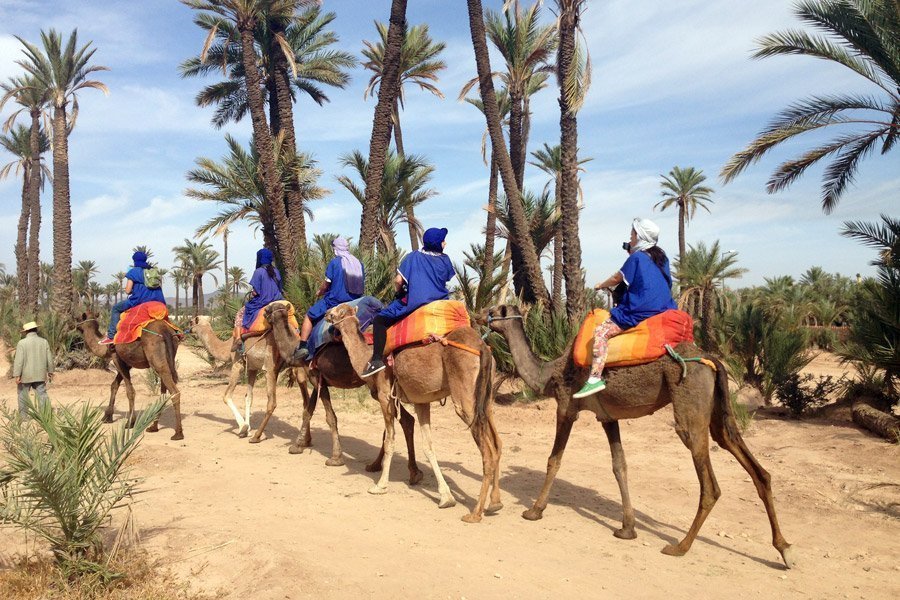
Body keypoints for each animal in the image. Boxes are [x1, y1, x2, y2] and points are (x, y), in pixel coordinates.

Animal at [266, 302, 424, 480]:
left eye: (269, 309)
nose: (263, 313)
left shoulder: (315, 377)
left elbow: (330, 417)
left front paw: (335, 458)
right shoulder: (319, 380)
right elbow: (308, 411)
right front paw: (300, 444)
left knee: (401, 419)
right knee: (406, 420)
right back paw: (407, 471)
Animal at [326, 302, 506, 524]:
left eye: (337, 310)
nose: (326, 314)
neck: (366, 359)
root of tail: (482, 347)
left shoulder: (385, 396)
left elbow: (390, 440)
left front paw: (380, 485)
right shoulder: (422, 400)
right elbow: (428, 446)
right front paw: (446, 497)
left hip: (465, 395)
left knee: (487, 451)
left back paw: (475, 513)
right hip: (486, 397)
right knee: (497, 443)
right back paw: (495, 502)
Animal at [482, 304, 792, 568]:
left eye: (494, 311)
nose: (480, 315)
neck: (549, 373)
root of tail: (711, 359)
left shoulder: (566, 407)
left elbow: (554, 460)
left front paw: (534, 511)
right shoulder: (607, 416)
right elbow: (620, 466)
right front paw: (627, 528)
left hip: (689, 401)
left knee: (709, 483)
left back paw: (680, 546)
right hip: (718, 409)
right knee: (751, 462)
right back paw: (784, 549)